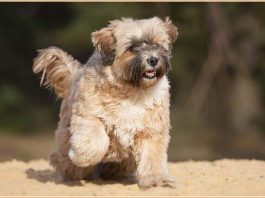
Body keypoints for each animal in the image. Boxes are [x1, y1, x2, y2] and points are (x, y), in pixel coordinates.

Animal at [32, 17, 177, 189]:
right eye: (132, 48)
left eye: (157, 45)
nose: (153, 59)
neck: (132, 92)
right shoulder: (89, 116)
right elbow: (95, 142)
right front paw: (81, 157)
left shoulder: (152, 131)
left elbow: (153, 157)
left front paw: (157, 180)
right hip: (66, 137)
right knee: (62, 159)